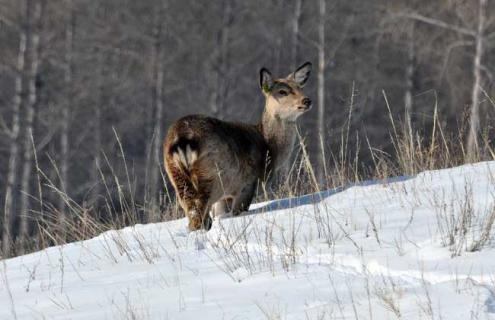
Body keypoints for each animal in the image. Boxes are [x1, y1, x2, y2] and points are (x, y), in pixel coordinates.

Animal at [165, 62, 312, 230]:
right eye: (282, 92)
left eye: (300, 87)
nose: (306, 100)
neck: (269, 149)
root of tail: (182, 139)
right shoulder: (247, 184)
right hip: (214, 177)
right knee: (200, 215)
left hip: (176, 175)